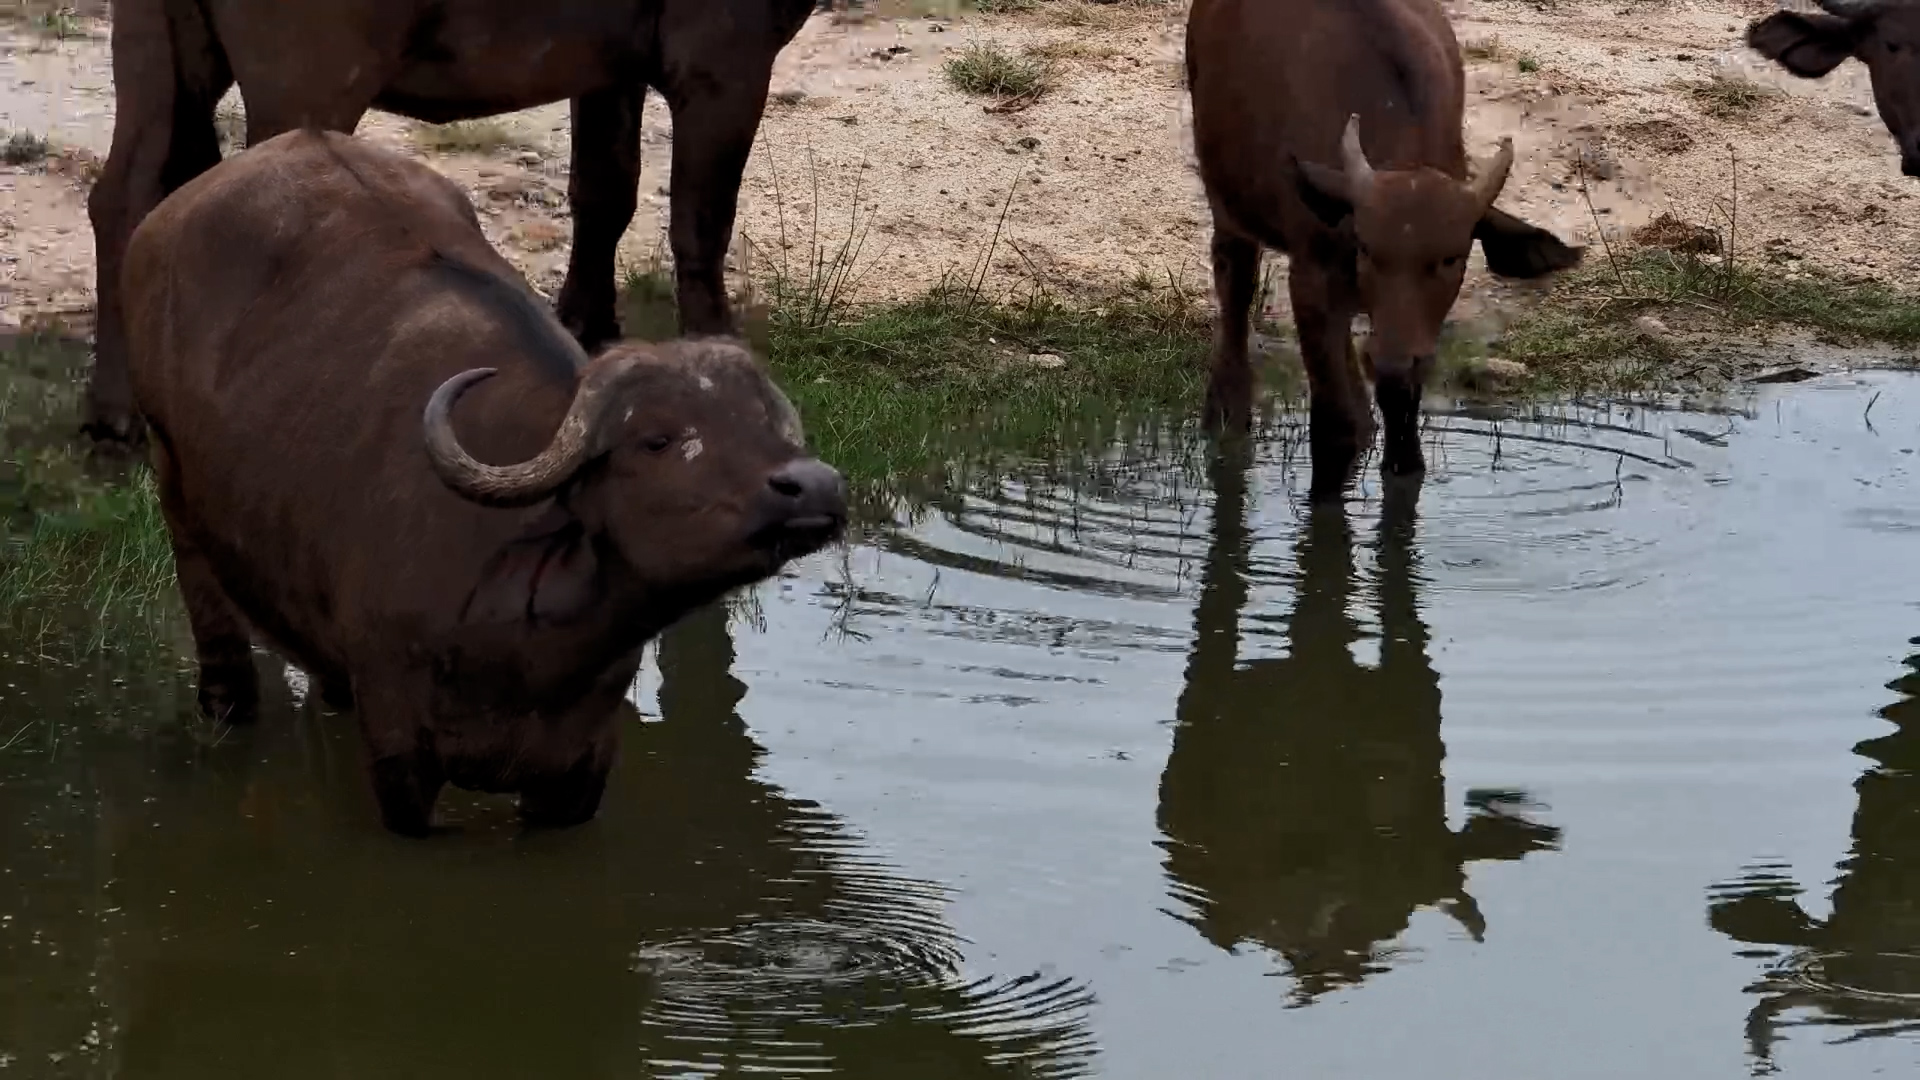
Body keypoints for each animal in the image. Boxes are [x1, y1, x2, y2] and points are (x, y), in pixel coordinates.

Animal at [83, 0, 818, 445]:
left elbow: (605, 192)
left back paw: (117, 411)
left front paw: (588, 325)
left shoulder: (610, 68)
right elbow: (702, 219)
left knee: (125, 197)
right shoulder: (726, 62)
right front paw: (726, 358)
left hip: (153, 47)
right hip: (307, 78)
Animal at [122, 129, 847, 836]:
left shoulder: (578, 775)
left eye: (768, 424)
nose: (814, 487)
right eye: (658, 439)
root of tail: (161, 224)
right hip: (172, 479)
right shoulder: (400, 758)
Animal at [1186, 0, 1582, 498]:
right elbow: (1336, 423)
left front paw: (1402, 463)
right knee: (1236, 285)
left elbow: (1398, 412)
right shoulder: (1311, 279)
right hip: (1225, 202)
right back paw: (1225, 412)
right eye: (1367, 249)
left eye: (1450, 258)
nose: (1390, 361)